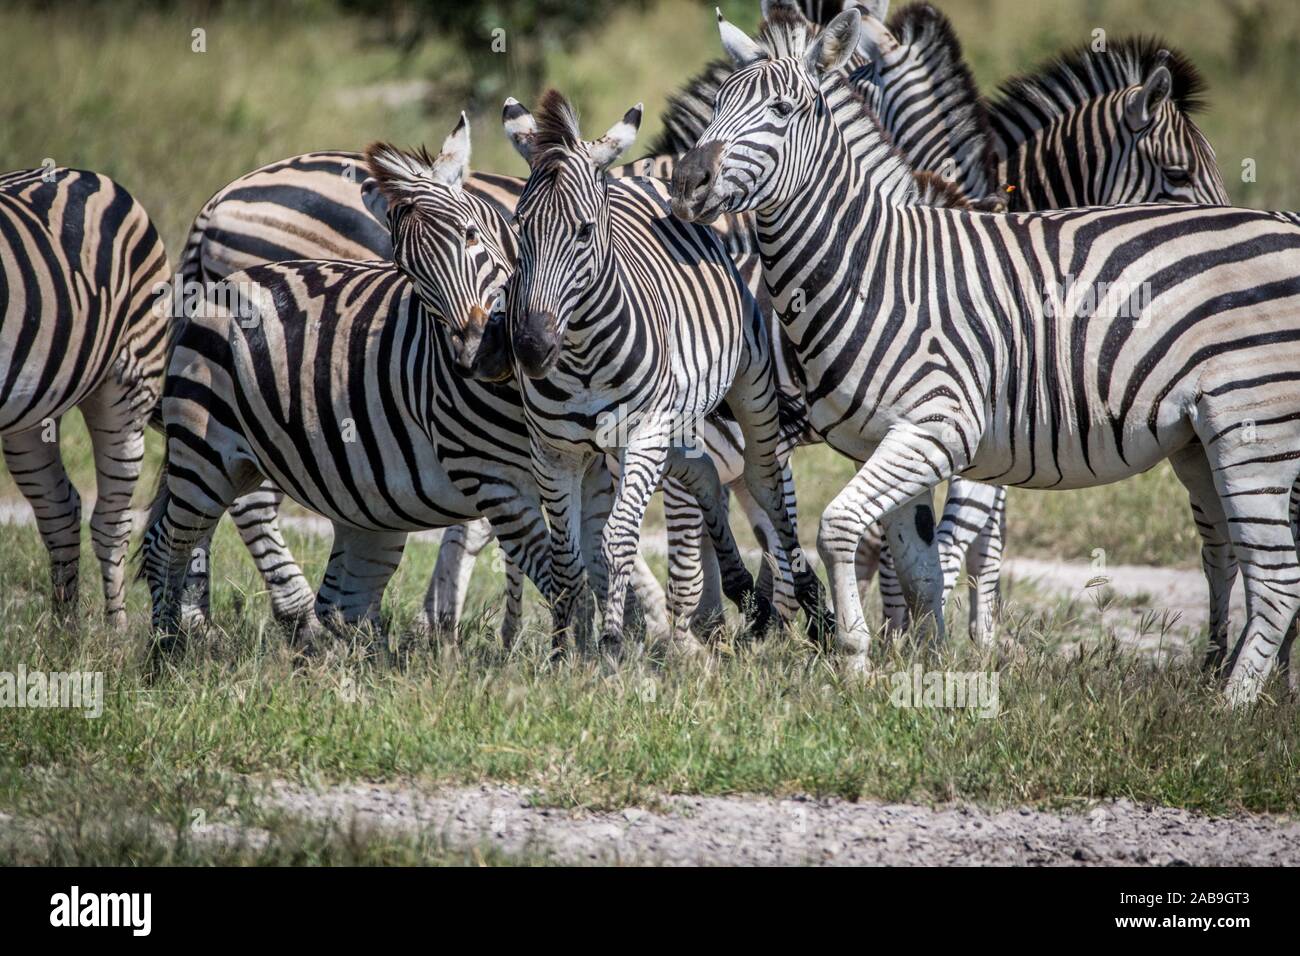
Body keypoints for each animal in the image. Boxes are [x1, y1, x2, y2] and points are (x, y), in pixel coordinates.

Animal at [1, 166, 170, 625]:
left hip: (127, 386)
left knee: (112, 521)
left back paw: (113, 631)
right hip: (32, 412)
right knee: (61, 508)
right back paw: (65, 630)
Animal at [503, 90, 827, 650]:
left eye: (584, 231)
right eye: (521, 228)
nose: (531, 347)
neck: (581, 354)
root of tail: (646, 176)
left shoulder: (644, 433)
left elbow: (617, 539)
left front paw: (610, 644)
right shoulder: (553, 450)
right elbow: (565, 558)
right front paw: (564, 649)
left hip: (745, 388)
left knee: (767, 486)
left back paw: (814, 610)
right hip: (665, 426)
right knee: (703, 475)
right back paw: (747, 597)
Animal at [670, 4, 1300, 704]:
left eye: (781, 110)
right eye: (718, 106)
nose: (687, 180)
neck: (873, 263)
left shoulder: (944, 428)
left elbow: (851, 529)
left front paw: (863, 657)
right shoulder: (894, 440)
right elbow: (918, 565)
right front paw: (931, 671)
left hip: (1252, 427)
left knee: (1276, 575)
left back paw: (1234, 704)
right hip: (1201, 438)